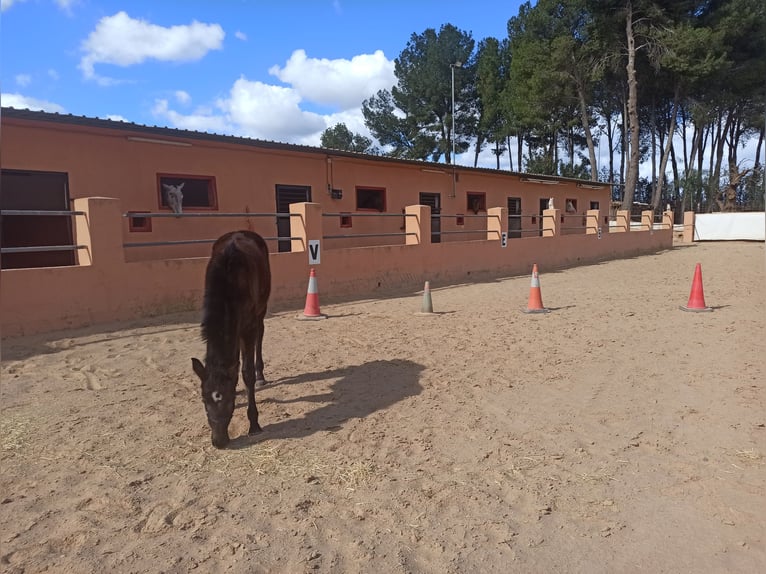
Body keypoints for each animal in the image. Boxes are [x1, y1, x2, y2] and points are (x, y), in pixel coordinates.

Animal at [192, 231, 272, 450]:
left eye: (226, 400)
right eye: (203, 401)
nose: (218, 441)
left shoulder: (247, 327)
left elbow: (246, 373)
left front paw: (254, 423)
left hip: (261, 308)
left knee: (261, 333)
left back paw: (261, 375)